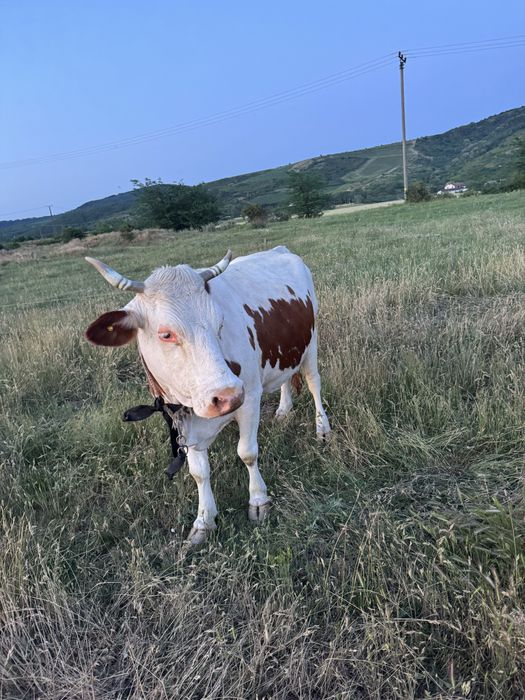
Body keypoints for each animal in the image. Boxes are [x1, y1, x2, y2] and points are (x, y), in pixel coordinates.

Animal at [84, 246, 331, 544]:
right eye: (166, 334)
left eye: (220, 323)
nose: (228, 396)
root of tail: (280, 250)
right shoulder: (182, 422)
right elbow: (199, 472)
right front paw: (204, 520)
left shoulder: (249, 397)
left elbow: (247, 452)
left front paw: (258, 500)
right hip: (284, 350)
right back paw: (283, 410)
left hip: (311, 343)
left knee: (313, 383)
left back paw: (322, 428)